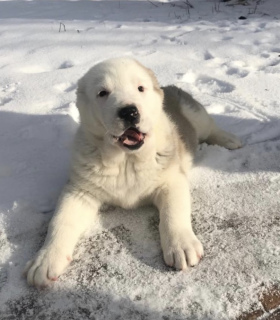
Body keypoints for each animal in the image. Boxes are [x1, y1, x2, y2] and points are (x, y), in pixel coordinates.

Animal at [24, 57, 243, 288]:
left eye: (140, 88)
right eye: (103, 93)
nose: (129, 112)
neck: (126, 160)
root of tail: (168, 87)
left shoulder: (171, 181)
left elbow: (174, 213)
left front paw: (182, 245)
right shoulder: (79, 191)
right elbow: (60, 222)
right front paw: (45, 260)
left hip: (195, 114)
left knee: (210, 128)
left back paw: (229, 139)